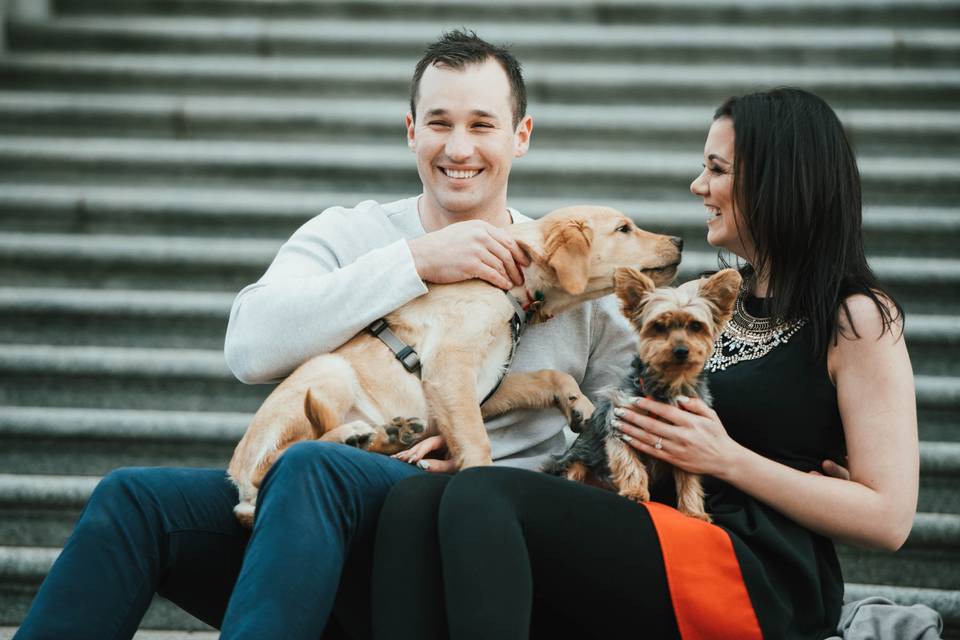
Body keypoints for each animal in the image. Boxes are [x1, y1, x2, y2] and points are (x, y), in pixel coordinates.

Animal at [229, 205, 684, 524]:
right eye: (624, 229)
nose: (680, 240)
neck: (510, 286)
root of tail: (239, 490)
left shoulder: (482, 385)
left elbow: (547, 376)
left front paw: (581, 406)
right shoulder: (450, 371)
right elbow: (479, 442)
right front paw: (479, 476)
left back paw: (388, 436)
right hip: (328, 371)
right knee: (276, 459)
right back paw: (353, 435)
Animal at [544, 264, 740, 520]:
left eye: (696, 326)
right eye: (658, 326)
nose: (681, 350)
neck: (667, 386)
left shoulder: (688, 443)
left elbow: (689, 480)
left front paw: (693, 512)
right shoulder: (620, 424)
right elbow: (630, 463)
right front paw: (635, 492)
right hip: (575, 462)